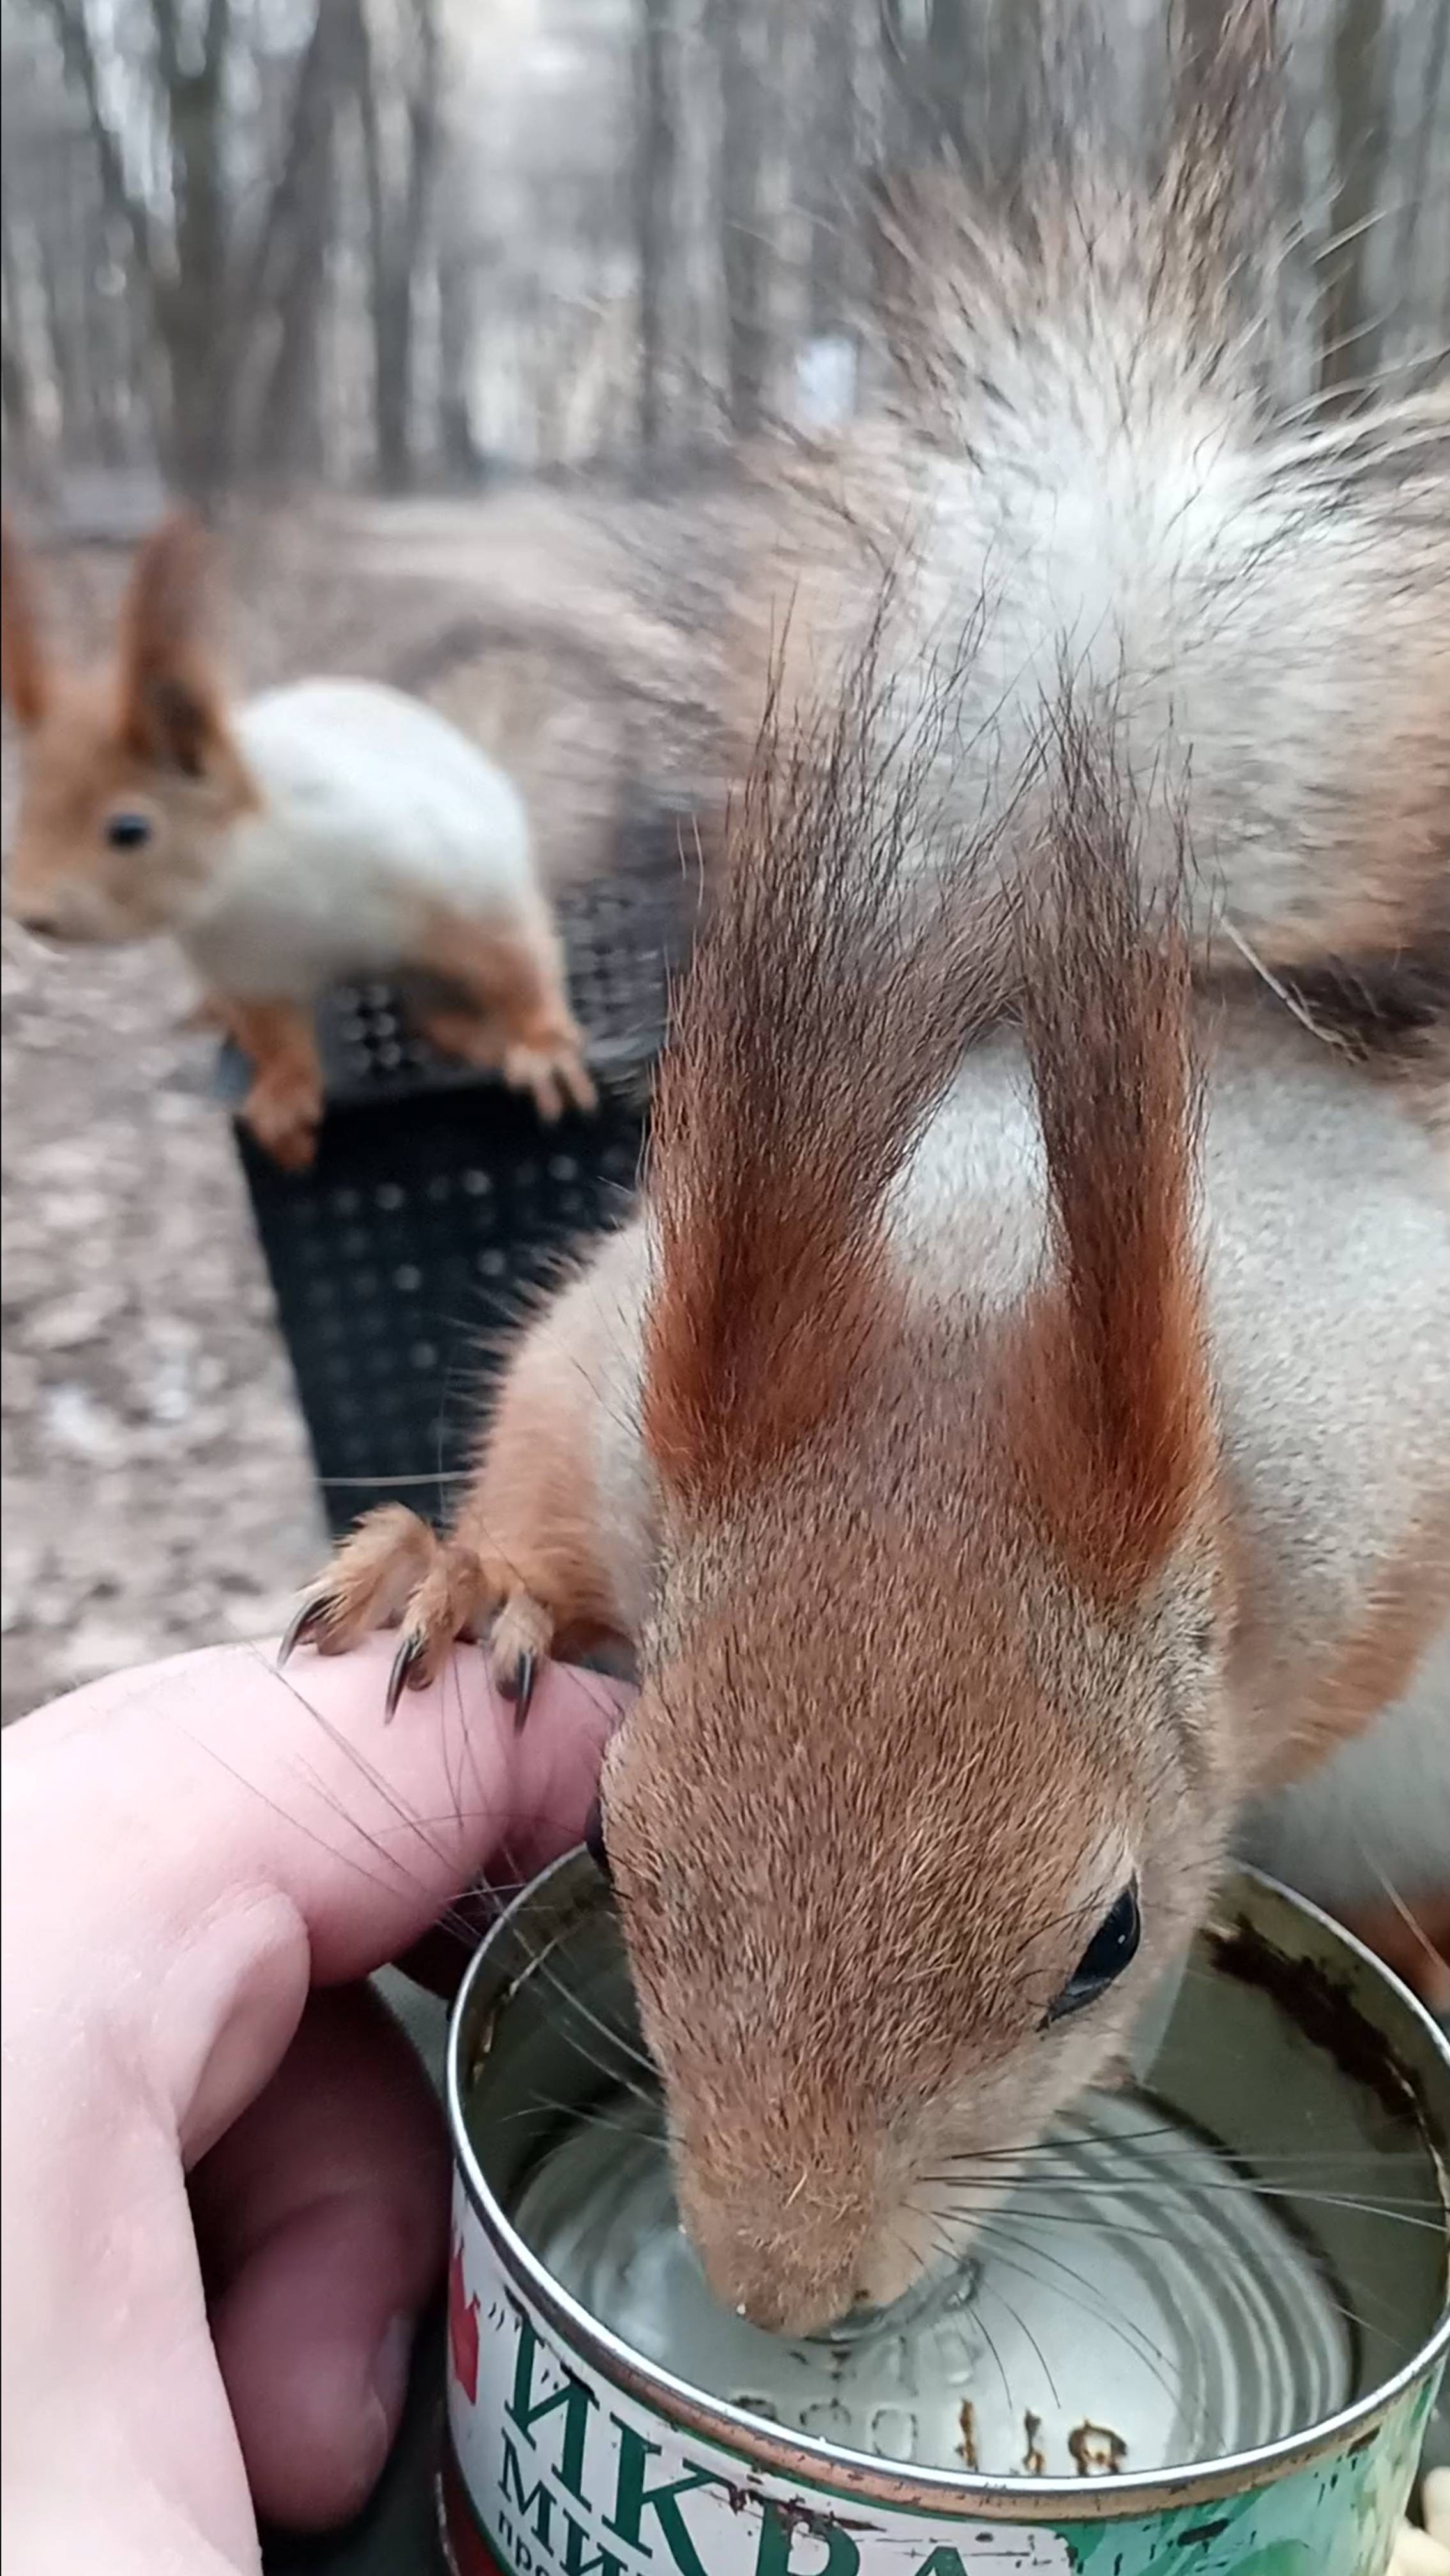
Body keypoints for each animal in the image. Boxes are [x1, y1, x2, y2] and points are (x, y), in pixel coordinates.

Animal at [0, 518, 595, 1164]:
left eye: (129, 830)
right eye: (25, 808)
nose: (30, 913)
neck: (254, 884)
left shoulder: (456, 882)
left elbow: (517, 962)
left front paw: (543, 1047)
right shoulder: (250, 971)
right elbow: (275, 1037)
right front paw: (282, 1097)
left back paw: (482, 1035)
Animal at [287, 0, 1450, 2339]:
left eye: (1107, 1941)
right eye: (609, 1836)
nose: (777, 2296)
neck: (995, 1277)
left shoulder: (1385, 1524)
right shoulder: (627, 1348)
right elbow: (535, 1461)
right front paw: (460, 1578)